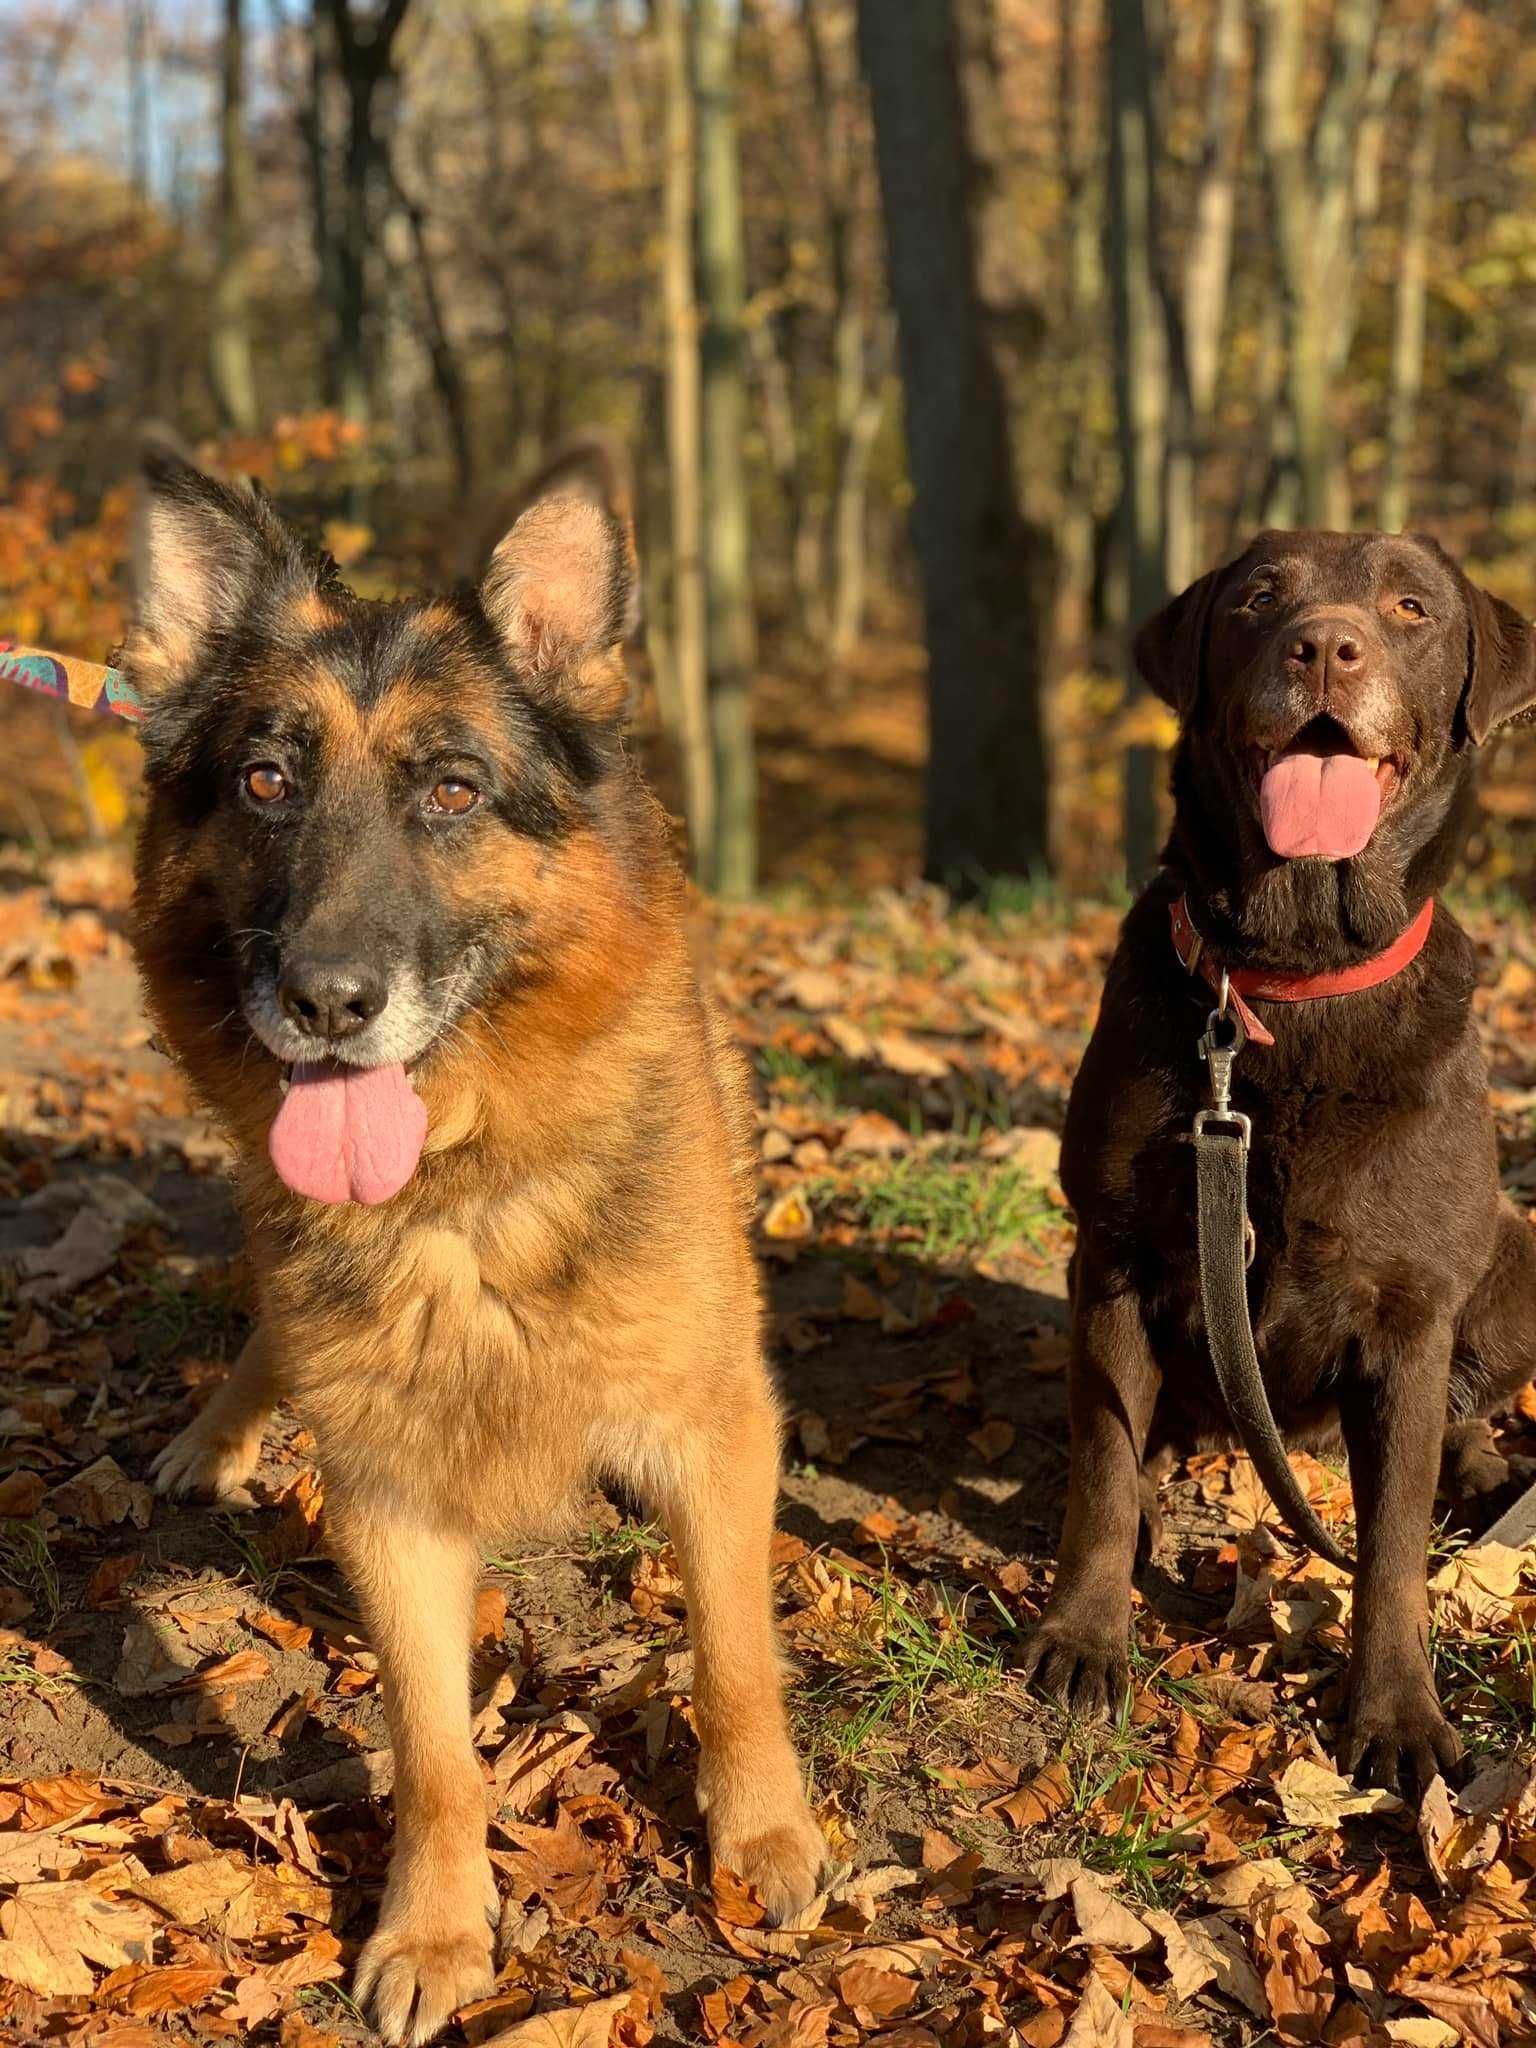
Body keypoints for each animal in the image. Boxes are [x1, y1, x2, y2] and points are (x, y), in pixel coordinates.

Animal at [129, 452, 831, 2048]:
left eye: (452, 790)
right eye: (265, 781)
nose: (328, 1002)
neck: (463, 1187)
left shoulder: (718, 1427)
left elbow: (735, 1654)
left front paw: (762, 1828)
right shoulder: (386, 1502)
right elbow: (435, 1748)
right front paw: (437, 1927)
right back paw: (215, 1431)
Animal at [1028, 528, 1536, 1794]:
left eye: (1410, 607)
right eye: (1261, 597)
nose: (1324, 646)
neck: (1292, 976)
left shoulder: (1407, 1310)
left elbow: (1392, 1546)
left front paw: (1396, 1710)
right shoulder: (1115, 1256)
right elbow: (1102, 1462)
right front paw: (1084, 1635)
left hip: (1517, 1261)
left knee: (1453, 1412)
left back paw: (1478, 1465)